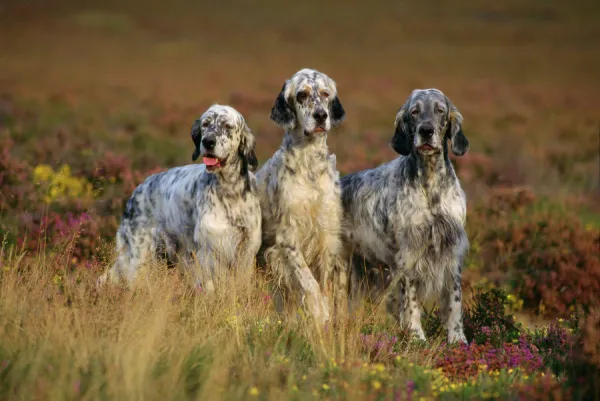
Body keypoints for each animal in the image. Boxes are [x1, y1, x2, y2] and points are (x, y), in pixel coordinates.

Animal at [98, 104, 260, 290]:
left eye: (227, 126)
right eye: (205, 124)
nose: (208, 142)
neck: (229, 192)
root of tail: (136, 190)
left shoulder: (247, 248)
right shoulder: (208, 248)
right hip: (139, 254)